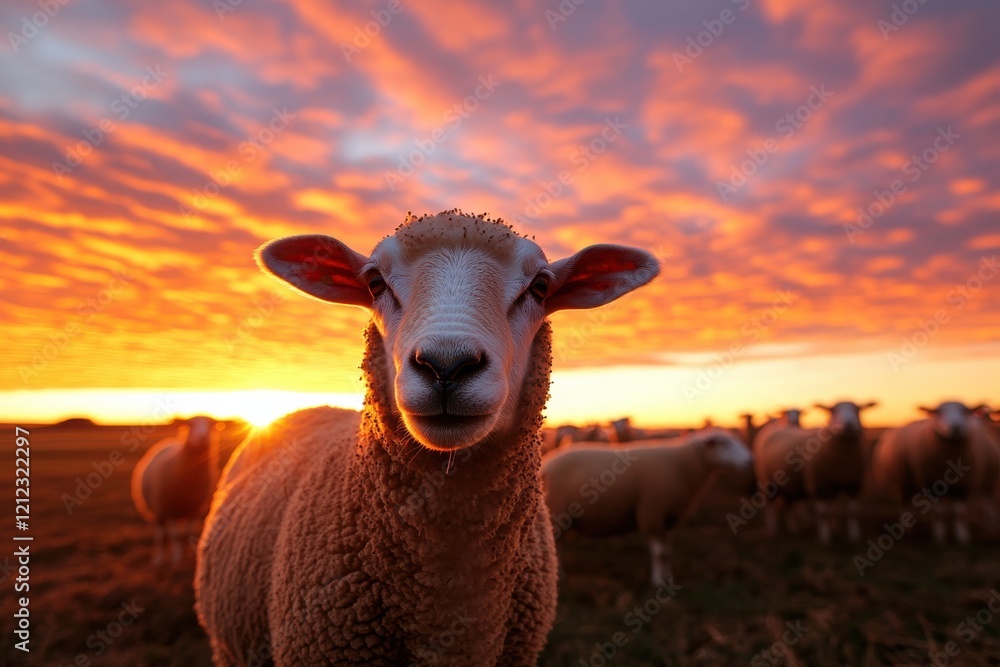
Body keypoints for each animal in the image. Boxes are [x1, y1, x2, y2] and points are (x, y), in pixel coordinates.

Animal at [131, 415, 219, 565]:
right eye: (191, 424)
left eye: (210, 424)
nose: (202, 437)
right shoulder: (169, 507)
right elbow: (175, 535)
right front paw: (176, 560)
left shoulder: (193, 509)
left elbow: (187, 534)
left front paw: (190, 555)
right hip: (158, 510)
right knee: (161, 534)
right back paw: (158, 558)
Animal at [541, 428, 753, 586]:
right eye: (724, 443)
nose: (749, 461)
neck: (684, 464)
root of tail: (546, 464)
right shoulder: (652, 512)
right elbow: (660, 554)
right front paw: (657, 582)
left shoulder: (665, 517)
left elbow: (667, 553)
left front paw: (667, 578)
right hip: (558, 510)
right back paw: (561, 577)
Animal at [753, 401, 876, 544]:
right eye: (832, 411)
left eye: (858, 409)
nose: (848, 424)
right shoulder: (819, 485)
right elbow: (823, 514)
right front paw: (825, 538)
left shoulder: (853, 484)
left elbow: (851, 512)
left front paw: (852, 536)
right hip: (766, 481)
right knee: (770, 506)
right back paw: (772, 530)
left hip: (790, 485)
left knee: (788, 505)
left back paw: (793, 529)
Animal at [873, 401, 998, 545]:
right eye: (939, 413)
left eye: (965, 412)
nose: (955, 427)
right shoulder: (931, 483)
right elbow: (938, 513)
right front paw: (939, 536)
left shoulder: (963, 485)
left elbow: (959, 513)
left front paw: (962, 536)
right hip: (904, 481)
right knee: (904, 501)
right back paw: (907, 527)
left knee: (986, 499)